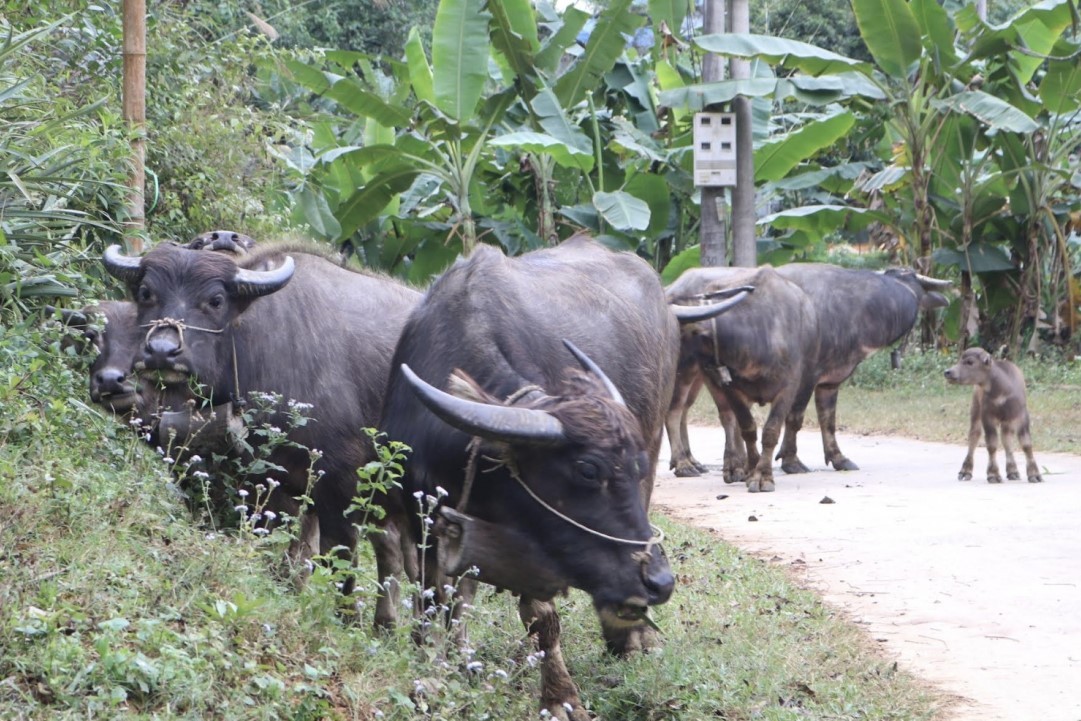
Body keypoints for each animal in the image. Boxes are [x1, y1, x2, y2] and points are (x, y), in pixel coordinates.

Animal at [102, 242, 421, 622]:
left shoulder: (341, 487)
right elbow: (284, 555)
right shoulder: (271, 484)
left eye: (216, 300)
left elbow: (339, 560)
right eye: (147, 293)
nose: (162, 352)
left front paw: (343, 617)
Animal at [376, 234, 748, 717]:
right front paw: (438, 673)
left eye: (631, 467)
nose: (661, 582)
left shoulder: (543, 546)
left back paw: (630, 638)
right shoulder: (421, 516)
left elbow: (541, 617)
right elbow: (435, 599)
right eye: (587, 470)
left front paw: (560, 700)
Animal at [665, 268, 817, 492]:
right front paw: (753, 471)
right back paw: (688, 464)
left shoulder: (789, 388)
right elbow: (747, 428)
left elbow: (771, 430)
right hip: (690, 373)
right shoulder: (732, 389)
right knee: (680, 413)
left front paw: (762, 476)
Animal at [942, 350, 1042, 484]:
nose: (948, 372)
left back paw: (1013, 471)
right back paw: (965, 472)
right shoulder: (987, 417)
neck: (1002, 391)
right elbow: (992, 445)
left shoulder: (1022, 416)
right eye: (959, 360)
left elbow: (1026, 444)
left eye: (970, 362)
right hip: (976, 409)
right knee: (974, 436)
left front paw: (1034, 475)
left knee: (1006, 439)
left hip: (1007, 421)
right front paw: (993, 474)